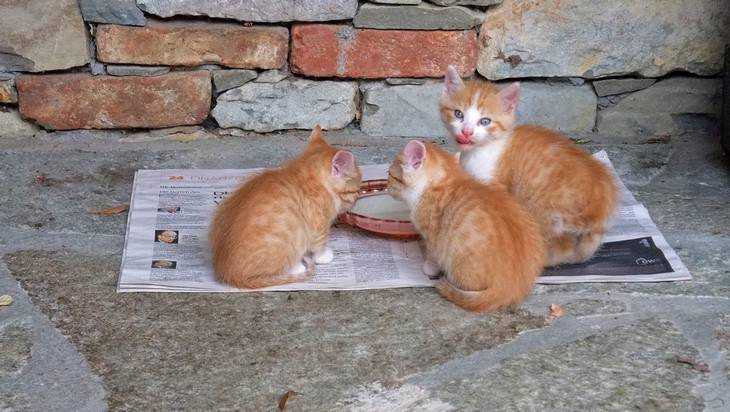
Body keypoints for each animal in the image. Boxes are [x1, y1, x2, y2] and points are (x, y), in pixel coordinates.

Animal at [209, 126, 362, 289]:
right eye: (357, 190)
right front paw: (323, 256)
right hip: (291, 236)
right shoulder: (319, 223)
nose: (356, 200)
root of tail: (230, 274)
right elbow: (319, 243)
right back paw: (297, 267)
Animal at [387, 140, 546, 312]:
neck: (444, 181)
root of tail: (510, 288)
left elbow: (432, 255)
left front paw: (428, 268)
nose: (386, 186)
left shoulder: (432, 235)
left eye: (390, 174)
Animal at [440, 66, 618, 266]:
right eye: (458, 114)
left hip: (546, 210)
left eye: (485, 121)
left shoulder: (497, 186)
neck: (480, 150)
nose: (466, 132)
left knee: (563, 247)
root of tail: (601, 203)